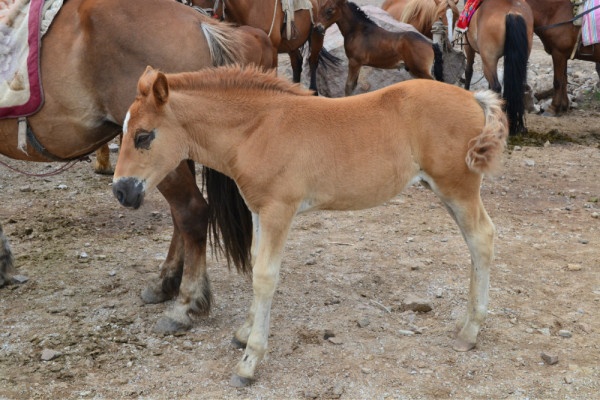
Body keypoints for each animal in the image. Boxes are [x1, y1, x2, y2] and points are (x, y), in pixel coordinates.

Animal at [111, 64, 506, 386]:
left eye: (144, 136)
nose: (120, 190)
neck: (257, 130)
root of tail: (473, 96)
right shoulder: (258, 210)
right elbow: (255, 265)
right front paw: (244, 332)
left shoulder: (278, 211)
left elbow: (265, 277)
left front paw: (249, 361)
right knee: (476, 243)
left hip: (457, 188)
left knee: (483, 238)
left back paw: (471, 331)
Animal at [312, 0, 442, 95]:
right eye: (320, 8)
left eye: (330, 10)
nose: (317, 27)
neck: (358, 30)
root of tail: (430, 44)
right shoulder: (357, 64)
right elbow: (353, 86)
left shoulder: (354, 62)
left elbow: (348, 87)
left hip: (420, 71)